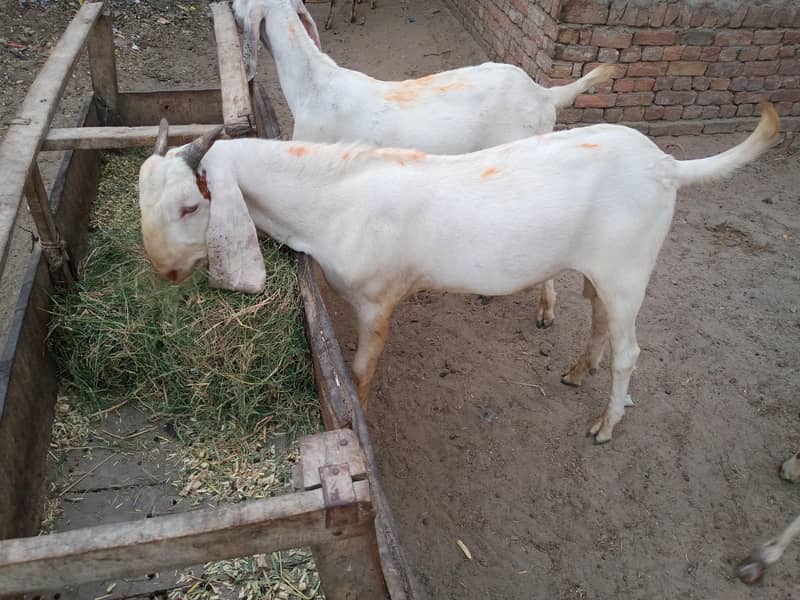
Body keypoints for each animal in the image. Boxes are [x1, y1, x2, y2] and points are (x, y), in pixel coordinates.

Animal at [138, 105, 778, 443]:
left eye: (191, 206)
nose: (164, 271)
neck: (333, 202)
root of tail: (666, 165)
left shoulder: (377, 300)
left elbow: (360, 371)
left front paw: (361, 417)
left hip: (630, 269)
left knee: (630, 351)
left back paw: (605, 422)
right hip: (602, 269)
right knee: (598, 317)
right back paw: (577, 371)